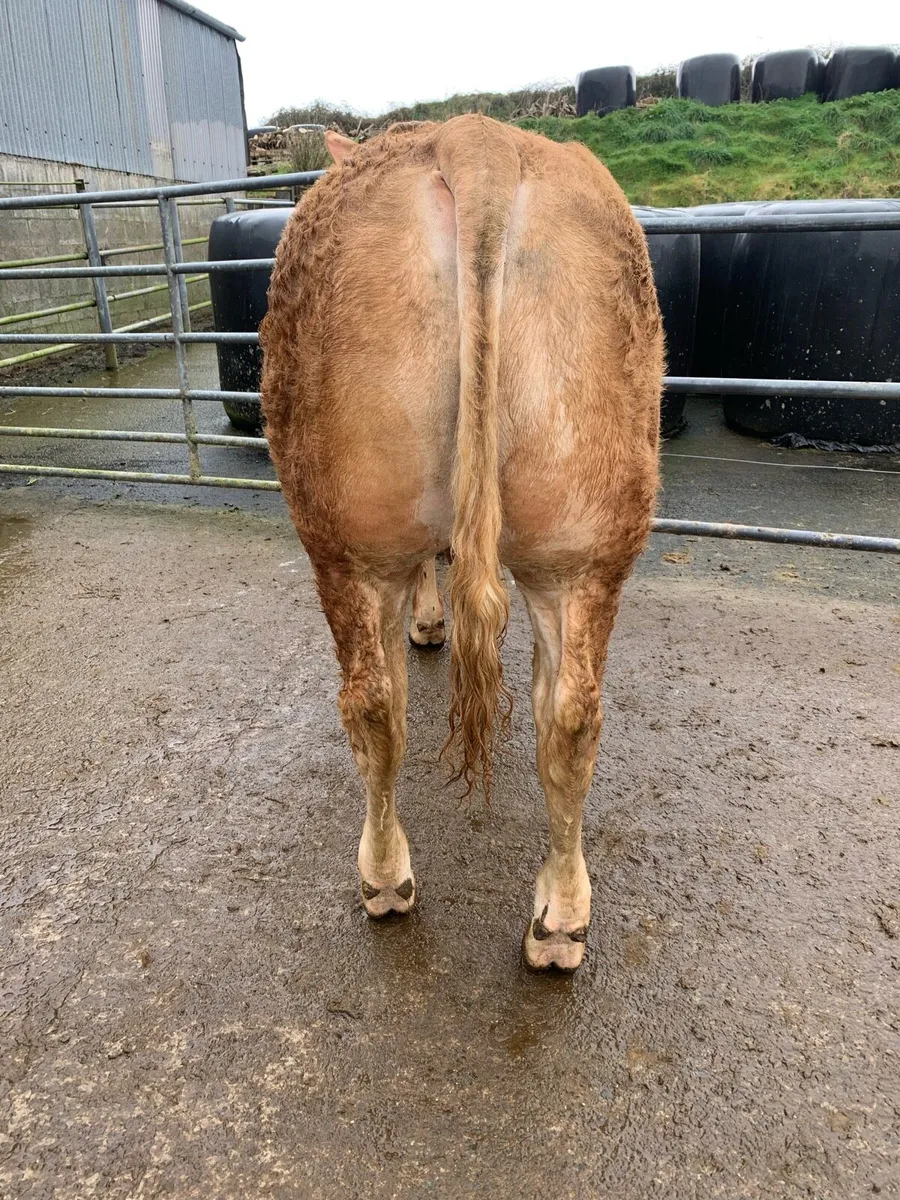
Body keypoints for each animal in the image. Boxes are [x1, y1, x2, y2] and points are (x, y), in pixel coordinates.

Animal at [260, 115, 663, 971]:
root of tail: (473, 137)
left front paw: (427, 622)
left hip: (345, 538)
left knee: (374, 704)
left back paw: (384, 878)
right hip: (583, 540)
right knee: (571, 716)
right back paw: (560, 919)